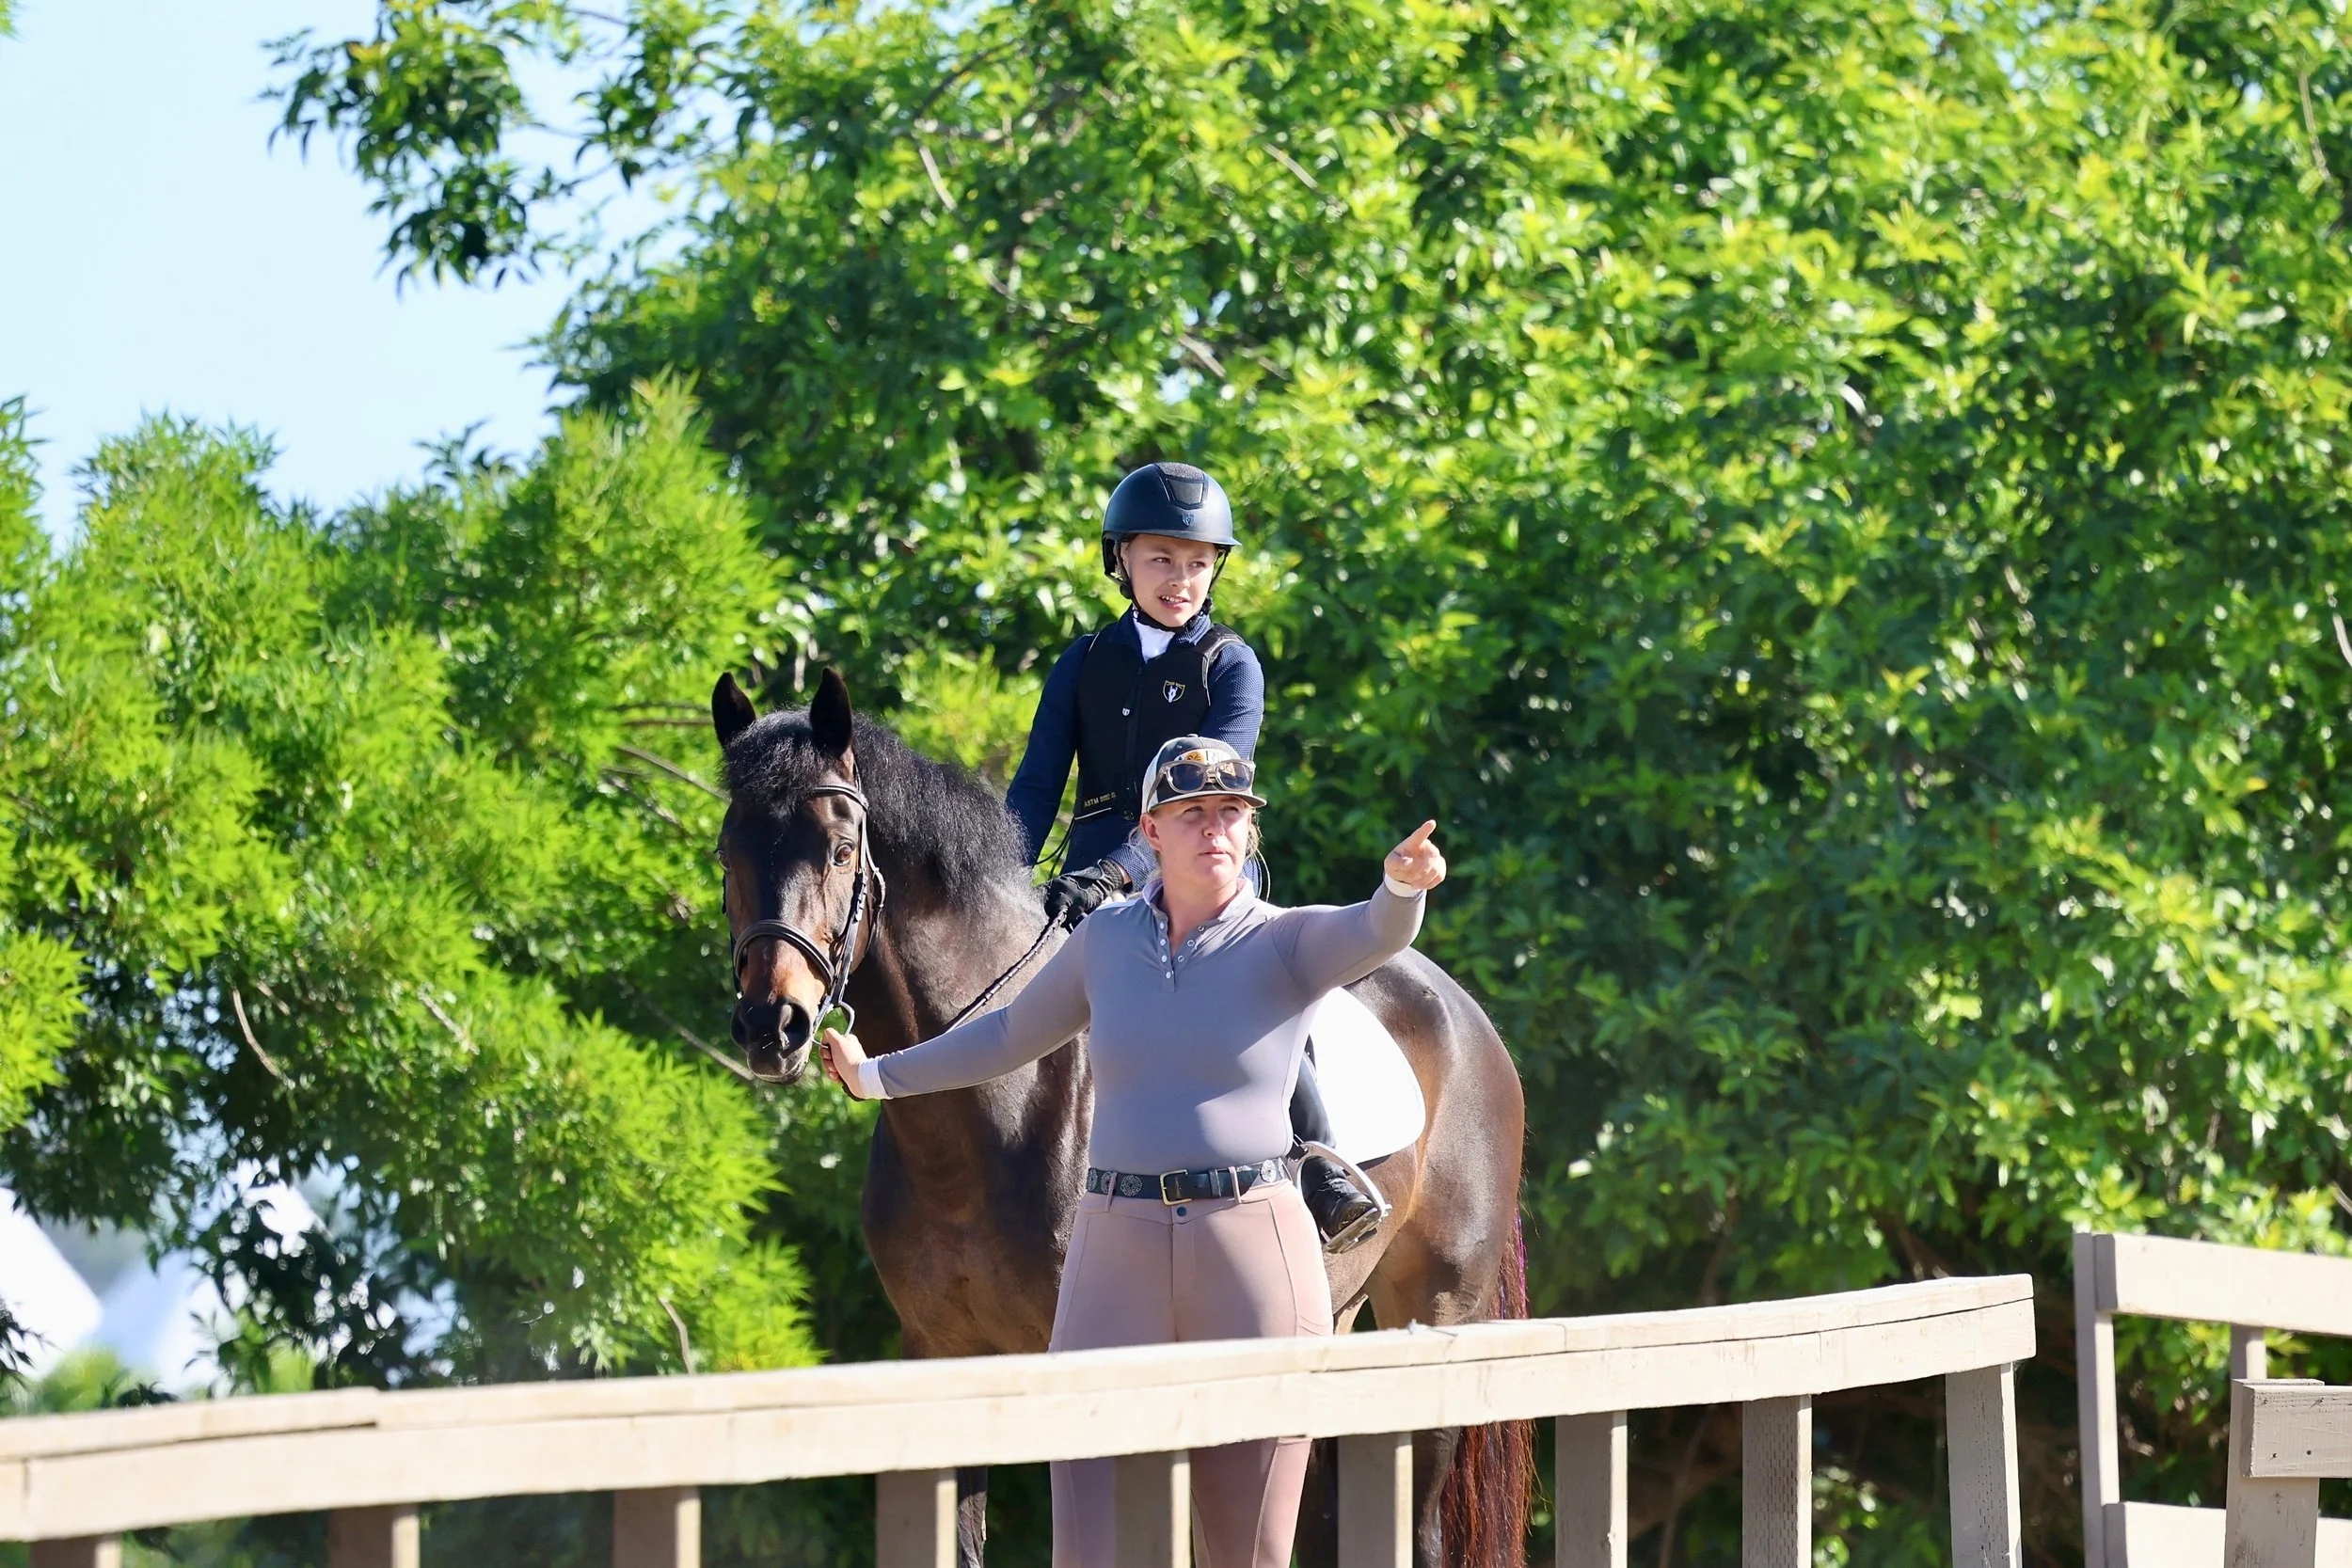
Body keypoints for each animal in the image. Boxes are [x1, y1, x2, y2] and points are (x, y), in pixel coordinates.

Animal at [710, 667, 1531, 1568]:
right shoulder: (943, 1354)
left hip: (1437, 1311)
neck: (982, 1127)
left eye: (840, 848)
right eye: (727, 852)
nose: (771, 1026)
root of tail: (1463, 1010)